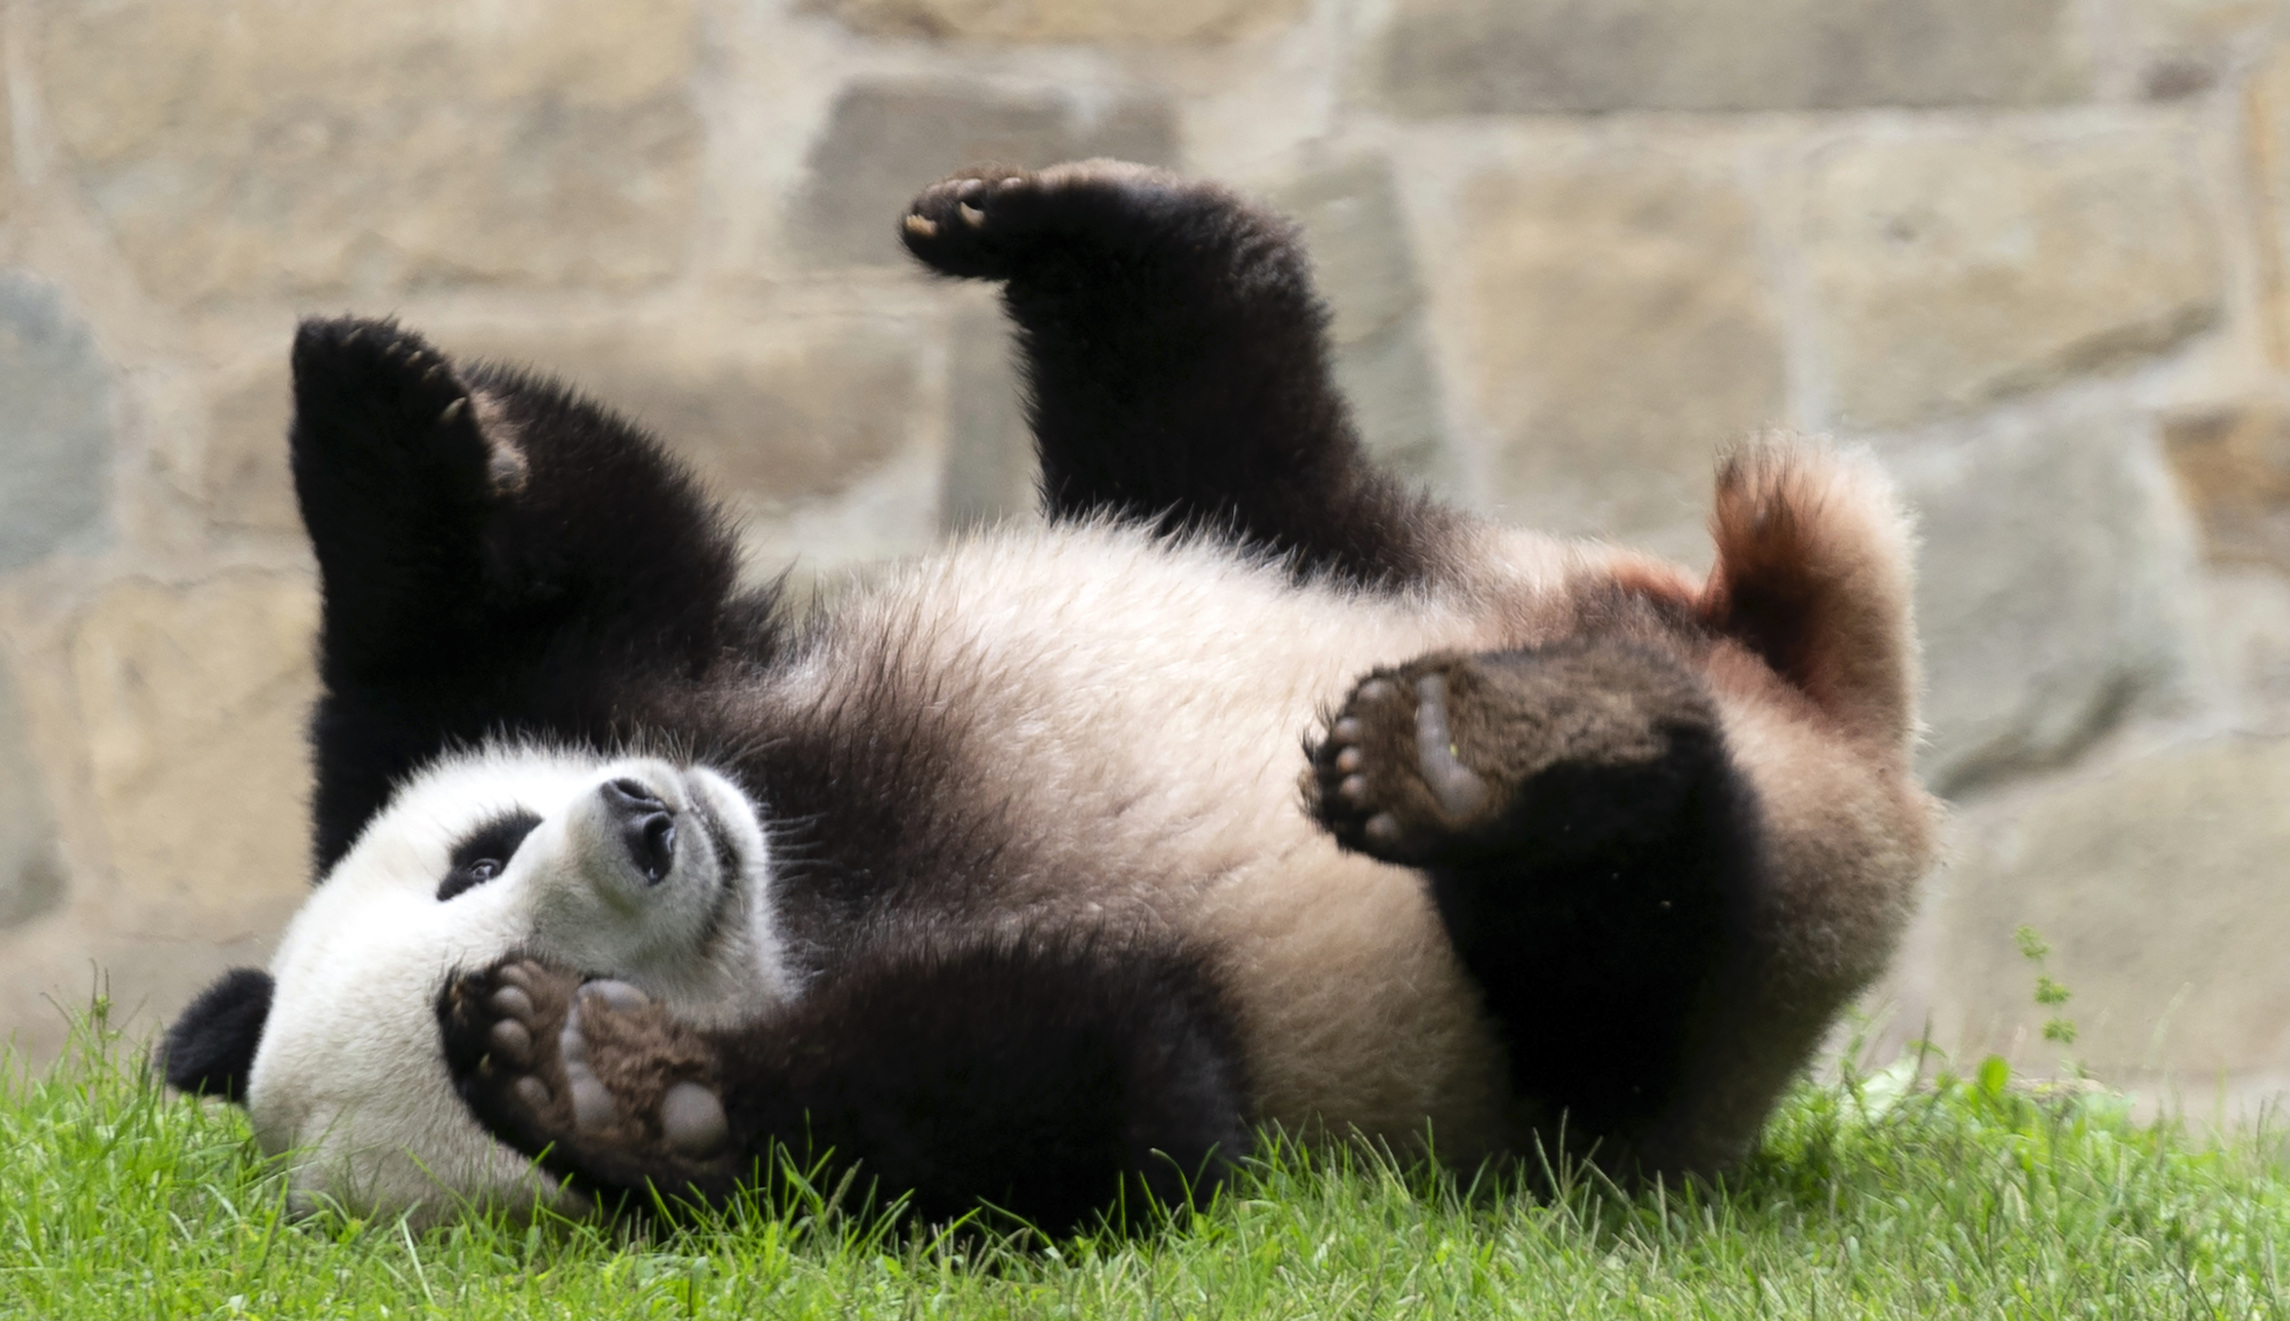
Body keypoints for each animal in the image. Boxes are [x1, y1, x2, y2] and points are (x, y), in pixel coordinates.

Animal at [157, 161, 1936, 1235]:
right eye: (514, 929)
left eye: (478, 853)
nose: (648, 823)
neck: (812, 880)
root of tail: (1825, 710)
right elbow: (1114, 1102)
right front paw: (610, 1082)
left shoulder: (660, 689)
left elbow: (546, 589)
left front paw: (377, 405)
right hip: (1636, 1042)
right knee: (1629, 946)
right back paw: (1501, 763)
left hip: (1382, 553)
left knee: (1227, 424)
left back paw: (1073, 229)